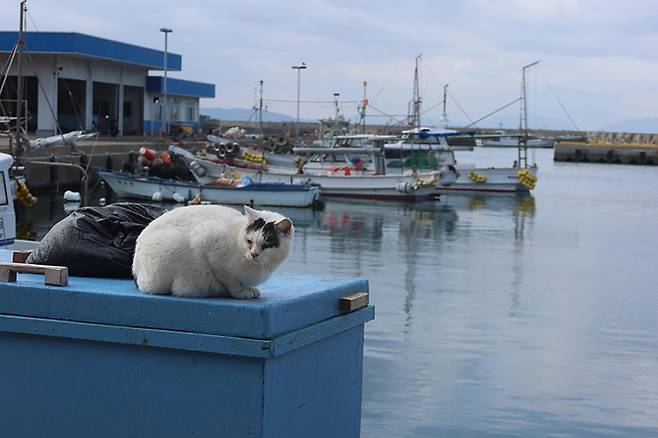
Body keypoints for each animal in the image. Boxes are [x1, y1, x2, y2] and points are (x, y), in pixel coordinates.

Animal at [132, 204, 294, 300]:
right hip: (173, 245)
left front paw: (248, 288)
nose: (253, 254)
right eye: (249, 241)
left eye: (266, 245)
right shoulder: (206, 241)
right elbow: (231, 281)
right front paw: (240, 293)